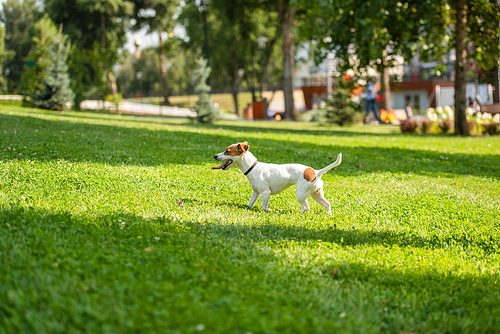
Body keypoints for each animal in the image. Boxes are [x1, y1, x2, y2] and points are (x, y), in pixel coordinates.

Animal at [213, 142, 342, 214]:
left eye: (227, 151)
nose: (215, 156)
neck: (252, 167)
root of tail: (316, 172)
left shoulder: (266, 193)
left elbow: (263, 206)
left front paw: (269, 210)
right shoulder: (256, 193)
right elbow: (250, 204)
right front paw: (247, 208)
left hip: (301, 194)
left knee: (306, 207)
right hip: (316, 194)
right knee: (326, 204)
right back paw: (328, 214)